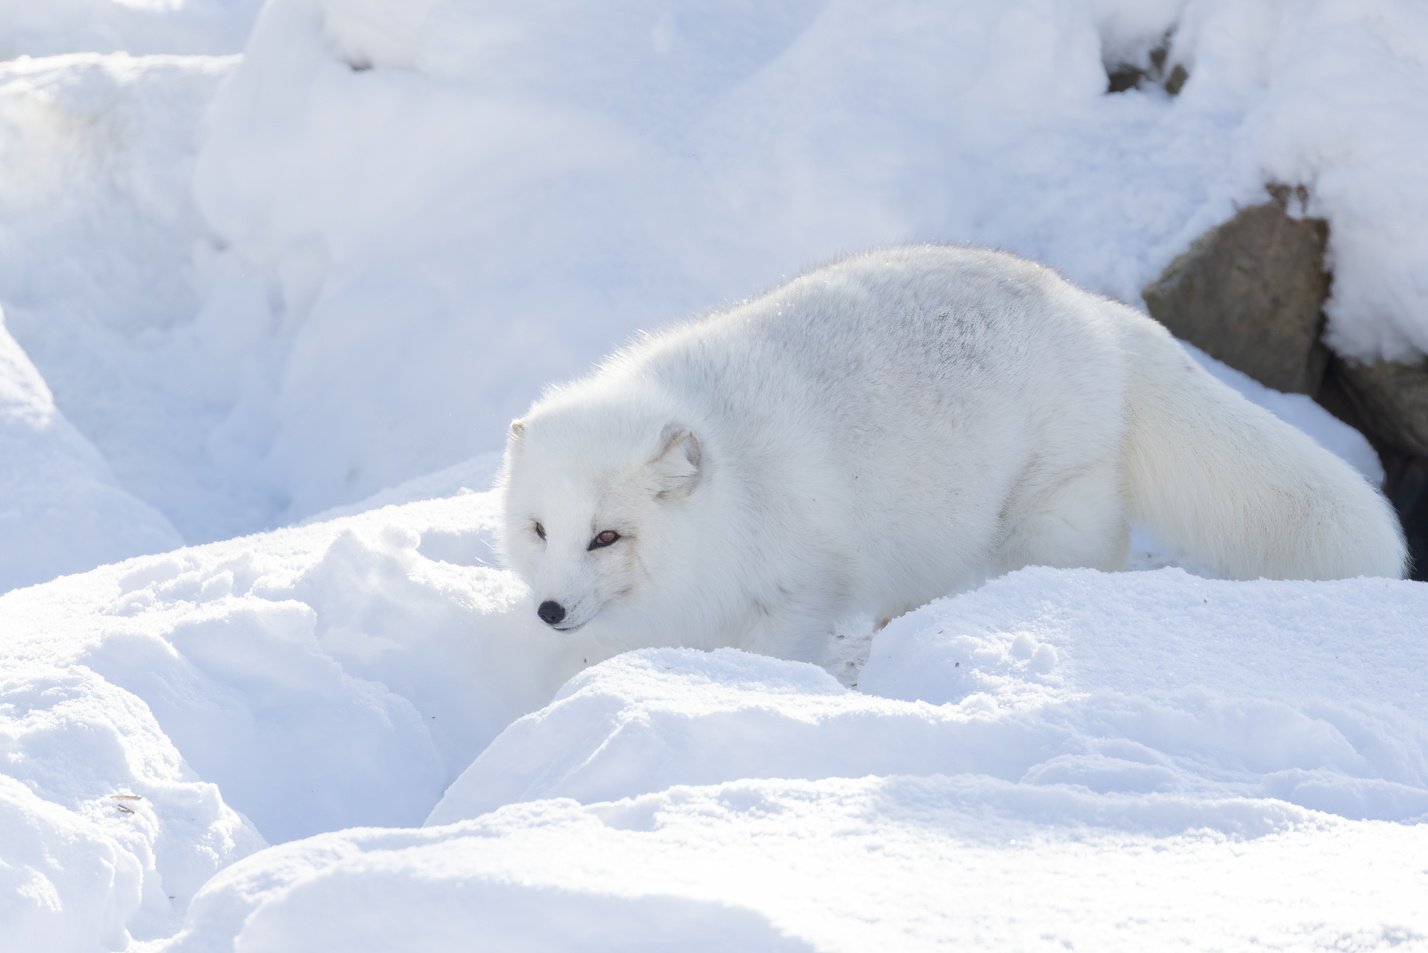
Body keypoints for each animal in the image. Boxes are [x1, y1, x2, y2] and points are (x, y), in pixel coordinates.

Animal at [499, 244, 1405, 662]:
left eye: (607, 535)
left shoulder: (794, 595)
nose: (546, 612)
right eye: (539, 531)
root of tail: (1095, 309)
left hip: (1046, 521)